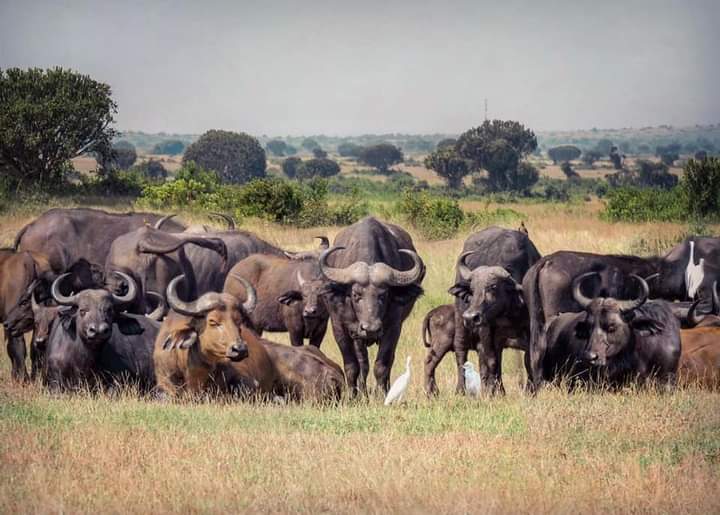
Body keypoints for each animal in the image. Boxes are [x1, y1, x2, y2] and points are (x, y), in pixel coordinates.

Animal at [318, 217, 424, 396]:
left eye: (383, 295)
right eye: (356, 295)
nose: (371, 328)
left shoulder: (393, 328)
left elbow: (382, 364)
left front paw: (382, 394)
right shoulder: (339, 326)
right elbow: (352, 365)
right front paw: (353, 396)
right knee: (362, 363)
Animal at [444, 228, 540, 398]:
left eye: (493, 287)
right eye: (473, 289)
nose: (470, 317)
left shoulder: (530, 328)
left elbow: (529, 359)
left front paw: (531, 390)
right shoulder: (486, 329)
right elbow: (491, 360)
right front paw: (495, 392)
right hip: (461, 323)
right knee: (462, 352)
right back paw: (462, 389)